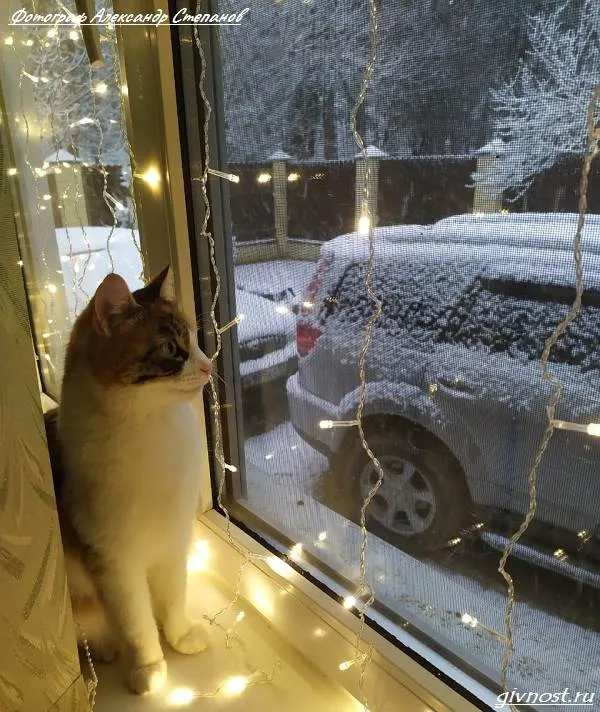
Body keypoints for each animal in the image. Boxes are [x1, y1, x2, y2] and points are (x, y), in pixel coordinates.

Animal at [45, 268, 213, 696]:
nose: (208, 365)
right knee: (88, 622)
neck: (153, 431)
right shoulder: (113, 562)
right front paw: (149, 667)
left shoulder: (173, 539)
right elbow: (136, 623)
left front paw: (179, 635)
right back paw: (104, 646)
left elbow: (173, 597)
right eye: (172, 347)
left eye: (194, 339)